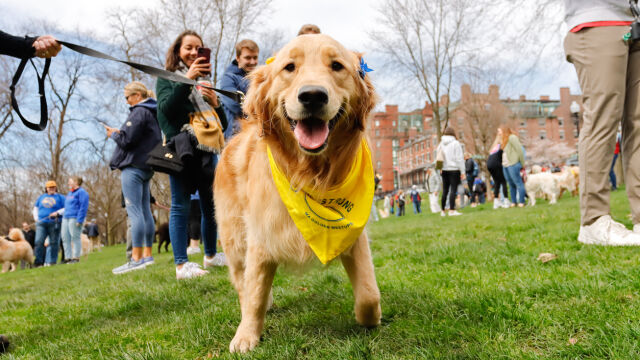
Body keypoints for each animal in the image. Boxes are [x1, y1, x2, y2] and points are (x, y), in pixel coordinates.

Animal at [216, 34, 380, 354]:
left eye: (336, 66)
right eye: (289, 67)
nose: (313, 96)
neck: (310, 175)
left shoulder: (353, 233)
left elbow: (369, 292)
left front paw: (370, 318)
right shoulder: (261, 235)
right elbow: (253, 294)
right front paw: (246, 335)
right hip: (234, 237)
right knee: (241, 280)